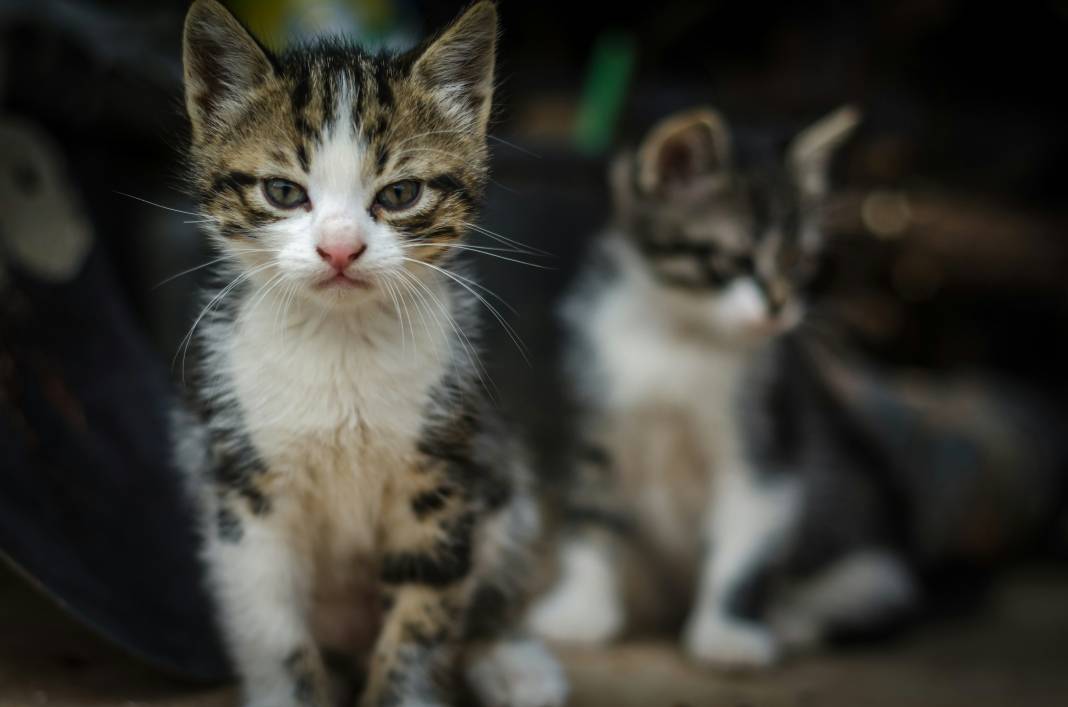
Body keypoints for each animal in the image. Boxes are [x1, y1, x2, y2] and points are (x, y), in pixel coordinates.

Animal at [168, 2, 568, 704]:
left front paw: (404, 684)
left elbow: (421, 620)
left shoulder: (442, 478)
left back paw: (511, 662)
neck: (340, 342)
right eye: (282, 192)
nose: (339, 248)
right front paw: (288, 688)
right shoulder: (245, 492)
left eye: (401, 194)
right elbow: (271, 624)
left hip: (502, 476)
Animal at [529, 106, 914, 670]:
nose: (779, 307)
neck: (682, 334)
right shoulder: (596, 418)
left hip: (876, 564)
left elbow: (745, 540)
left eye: (799, 263)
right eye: (736, 259)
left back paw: (790, 622)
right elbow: (590, 517)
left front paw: (728, 634)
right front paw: (581, 610)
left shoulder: (765, 438)